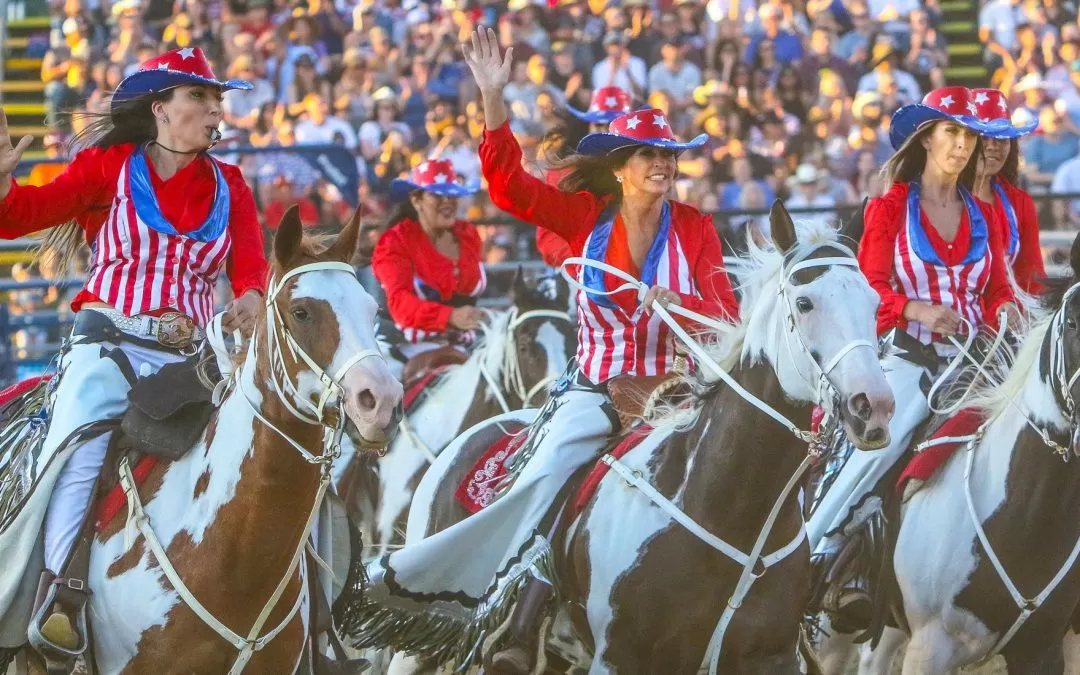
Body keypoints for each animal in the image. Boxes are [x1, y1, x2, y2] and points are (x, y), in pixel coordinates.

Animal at [397, 206, 894, 673]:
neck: (728, 504)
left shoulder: (770, 658)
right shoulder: (620, 657)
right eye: (805, 302)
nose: (873, 406)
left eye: (874, 303)